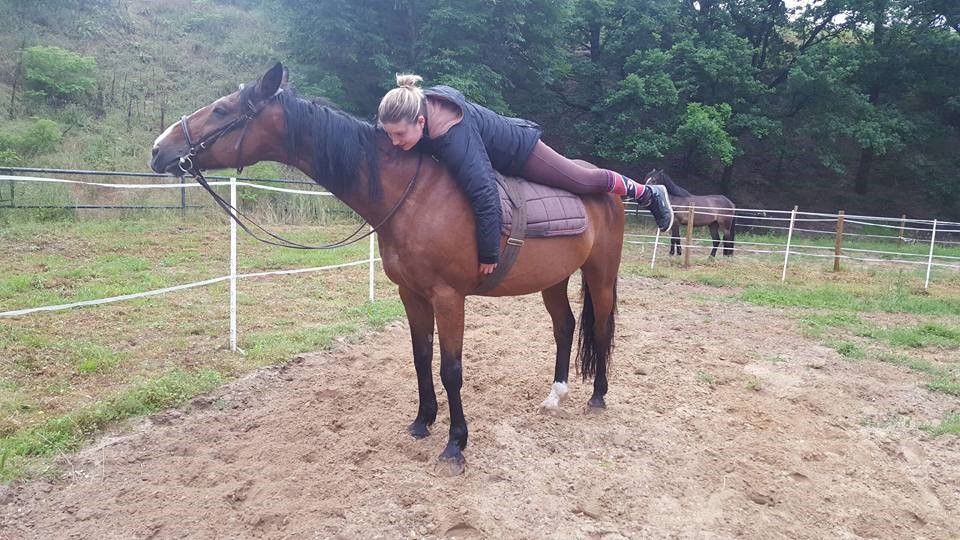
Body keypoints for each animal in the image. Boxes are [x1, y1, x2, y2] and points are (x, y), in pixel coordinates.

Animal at [149, 63, 624, 476]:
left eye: (222, 110)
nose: (158, 149)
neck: (415, 197)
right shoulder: (411, 295)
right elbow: (420, 358)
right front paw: (422, 422)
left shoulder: (449, 298)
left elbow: (451, 370)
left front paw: (455, 445)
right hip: (554, 280)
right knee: (564, 327)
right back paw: (555, 396)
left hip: (601, 275)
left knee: (600, 327)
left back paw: (598, 396)